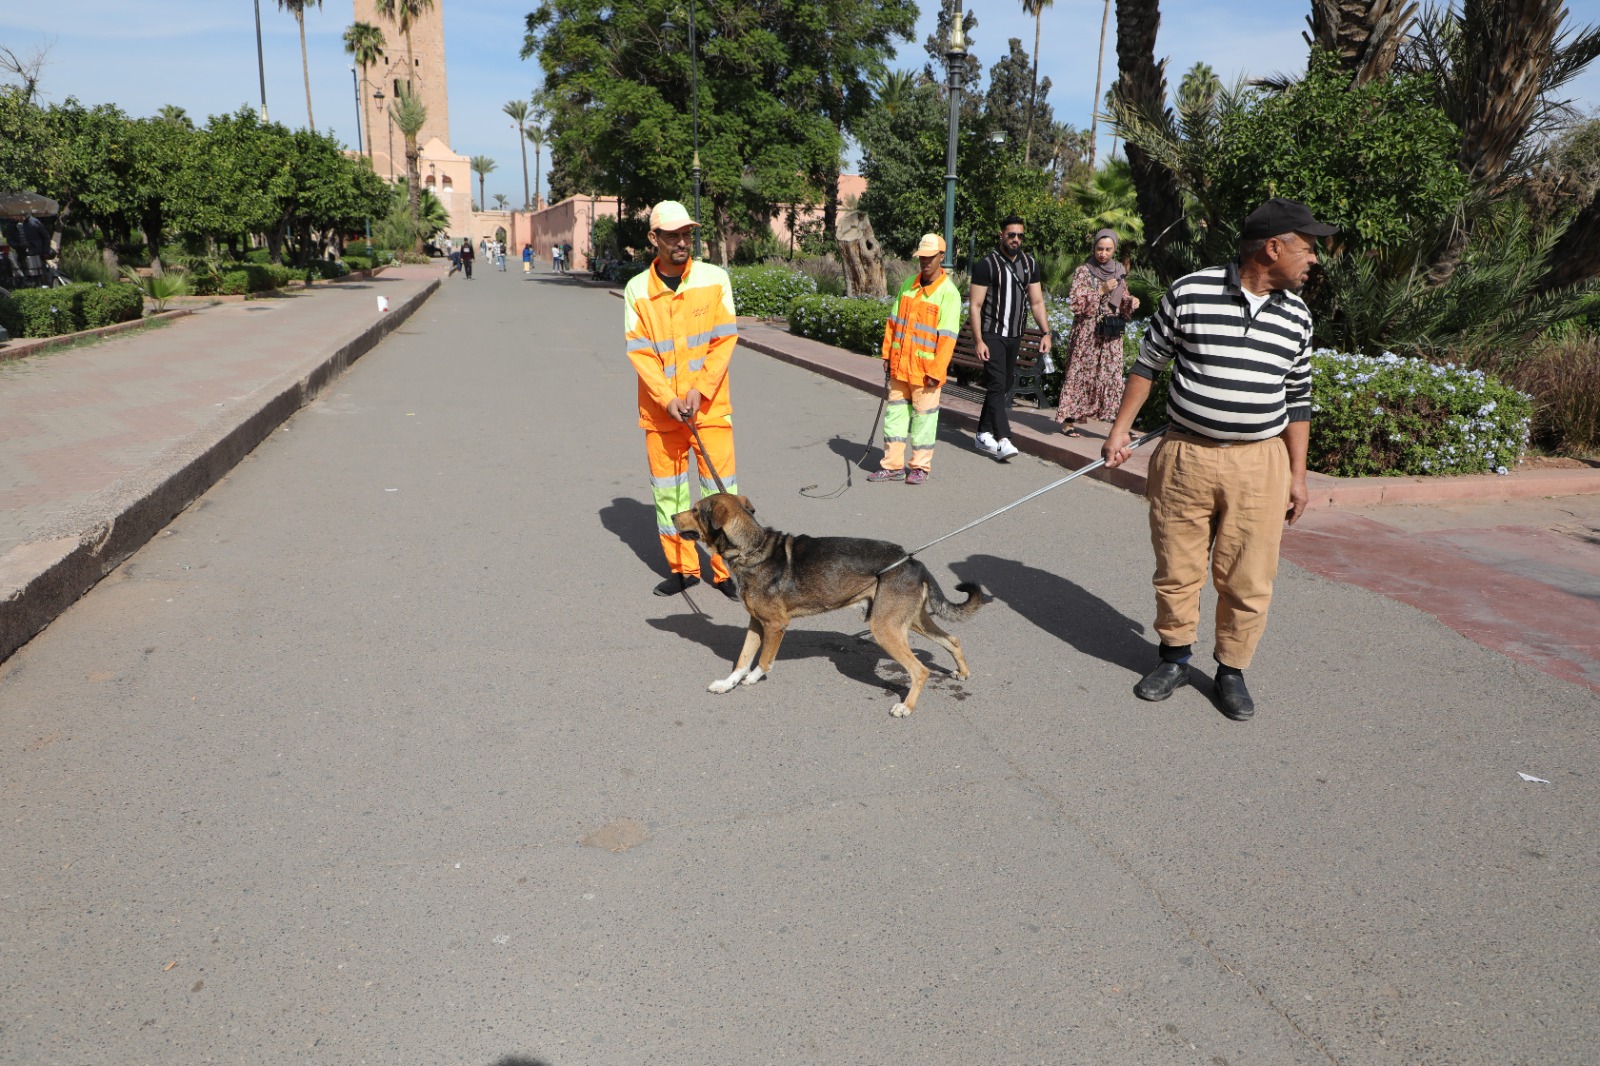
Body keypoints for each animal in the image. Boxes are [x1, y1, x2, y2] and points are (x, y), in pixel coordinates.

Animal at [668, 492, 979, 713]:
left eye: (695, 511)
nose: (671, 515)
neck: (752, 549)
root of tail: (915, 562)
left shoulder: (776, 625)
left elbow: (764, 661)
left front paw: (754, 679)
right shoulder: (756, 622)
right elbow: (742, 659)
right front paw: (727, 684)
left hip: (885, 628)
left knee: (921, 670)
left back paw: (907, 707)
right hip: (909, 621)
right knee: (952, 639)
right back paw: (962, 672)